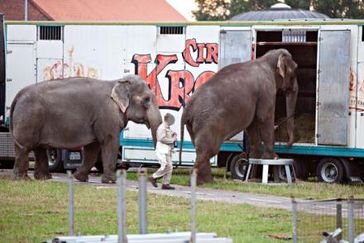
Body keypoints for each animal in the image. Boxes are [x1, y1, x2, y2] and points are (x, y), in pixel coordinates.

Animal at [9, 75, 161, 183]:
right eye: (146, 100)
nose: (154, 181)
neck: (116, 82)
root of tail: (18, 95)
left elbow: (92, 148)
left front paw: (79, 178)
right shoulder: (106, 115)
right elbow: (110, 141)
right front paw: (110, 181)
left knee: (39, 148)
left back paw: (44, 178)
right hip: (28, 118)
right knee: (25, 146)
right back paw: (23, 179)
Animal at [180, 48, 298, 184]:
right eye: (296, 68)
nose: (288, 145)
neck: (266, 59)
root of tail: (187, 109)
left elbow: (252, 125)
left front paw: (252, 177)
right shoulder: (266, 90)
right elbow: (264, 117)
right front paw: (272, 158)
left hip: (194, 124)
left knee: (200, 148)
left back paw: (206, 181)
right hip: (207, 123)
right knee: (208, 150)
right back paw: (201, 181)